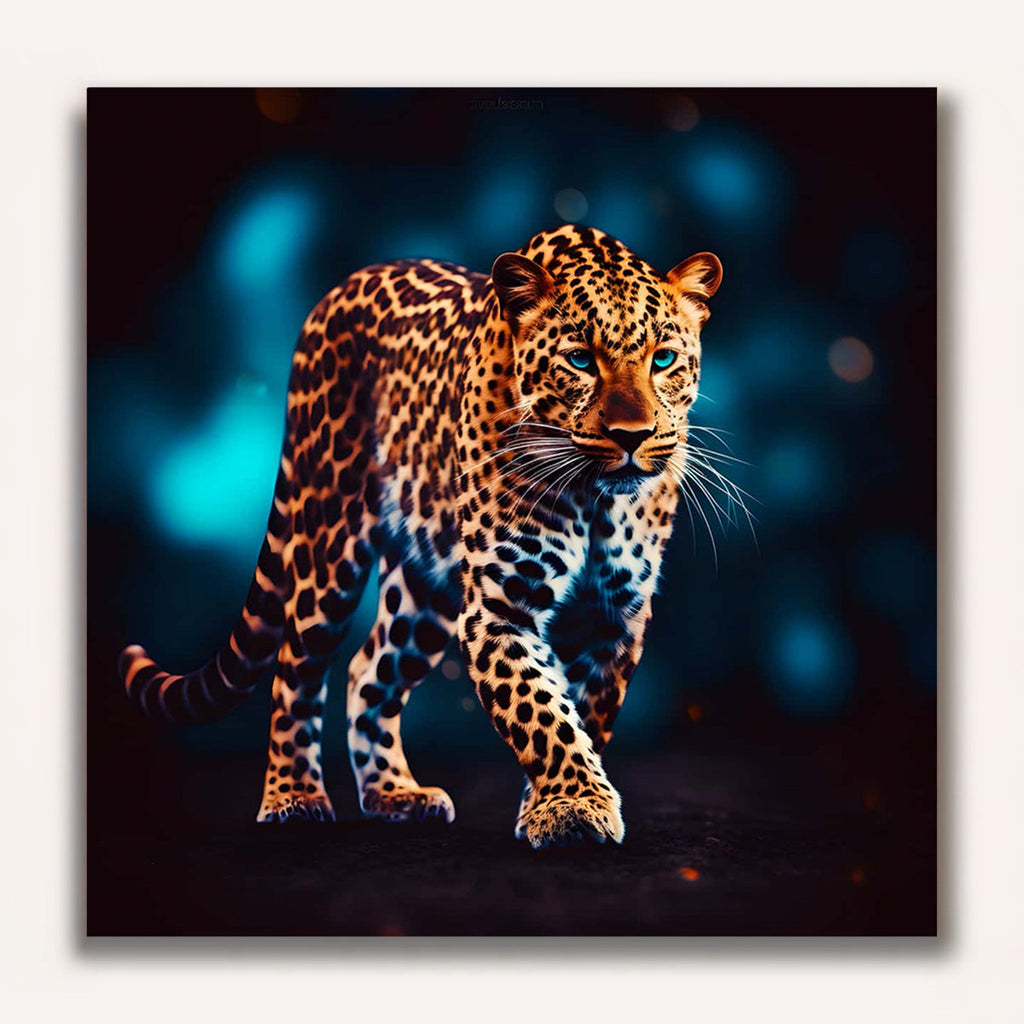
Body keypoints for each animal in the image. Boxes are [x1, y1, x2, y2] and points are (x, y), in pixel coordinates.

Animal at [118, 224, 723, 849]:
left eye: (664, 359)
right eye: (579, 359)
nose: (633, 436)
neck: (597, 499)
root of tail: (339, 289)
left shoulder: (614, 620)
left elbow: (579, 715)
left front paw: (548, 805)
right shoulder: (500, 609)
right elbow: (542, 714)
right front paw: (575, 807)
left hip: (423, 591)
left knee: (368, 671)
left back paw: (394, 794)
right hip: (326, 542)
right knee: (296, 667)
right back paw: (293, 796)